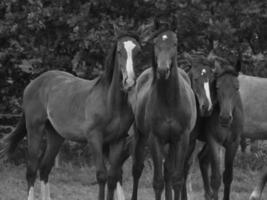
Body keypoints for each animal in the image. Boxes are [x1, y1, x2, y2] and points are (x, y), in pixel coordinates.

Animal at [0, 33, 142, 200]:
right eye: (119, 51)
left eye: (138, 52)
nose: (129, 82)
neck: (110, 101)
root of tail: (32, 84)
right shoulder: (94, 139)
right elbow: (102, 176)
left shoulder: (118, 140)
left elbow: (113, 177)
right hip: (34, 129)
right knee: (32, 169)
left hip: (55, 135)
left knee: (45, 168)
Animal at [131, 29, 198, 200]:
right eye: (156, 44)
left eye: (174, 44)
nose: (162, 70)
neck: (169, 101)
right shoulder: (155, 139)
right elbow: (158, 182)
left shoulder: (181, 139)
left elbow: (177, 179)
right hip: (141, 136)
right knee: (137, 169)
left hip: (171, 143)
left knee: (168, 171)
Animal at [197, 55, 245, 200]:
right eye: (217, 87)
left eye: (237, 87)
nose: (225, 118)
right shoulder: (214, 142)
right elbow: (216, 178)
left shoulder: (233, 144)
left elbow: (228, 177)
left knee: (202, 159)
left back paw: (208, 195)